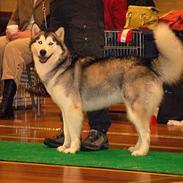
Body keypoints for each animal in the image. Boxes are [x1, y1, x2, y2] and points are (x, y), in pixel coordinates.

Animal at [30, 23, 183, 157]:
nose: (43, 52)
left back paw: (142, 152)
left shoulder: (73, 110)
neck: (60, 67)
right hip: (133, 112)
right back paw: (136, 148)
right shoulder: (65, 109)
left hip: (136, 109)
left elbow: (73, 133)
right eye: (39, 42)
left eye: (51, 44)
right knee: (141, 132)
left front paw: (72, 149)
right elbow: (67, 132)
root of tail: (147, 63)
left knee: (146, 132)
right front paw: (64, 146)